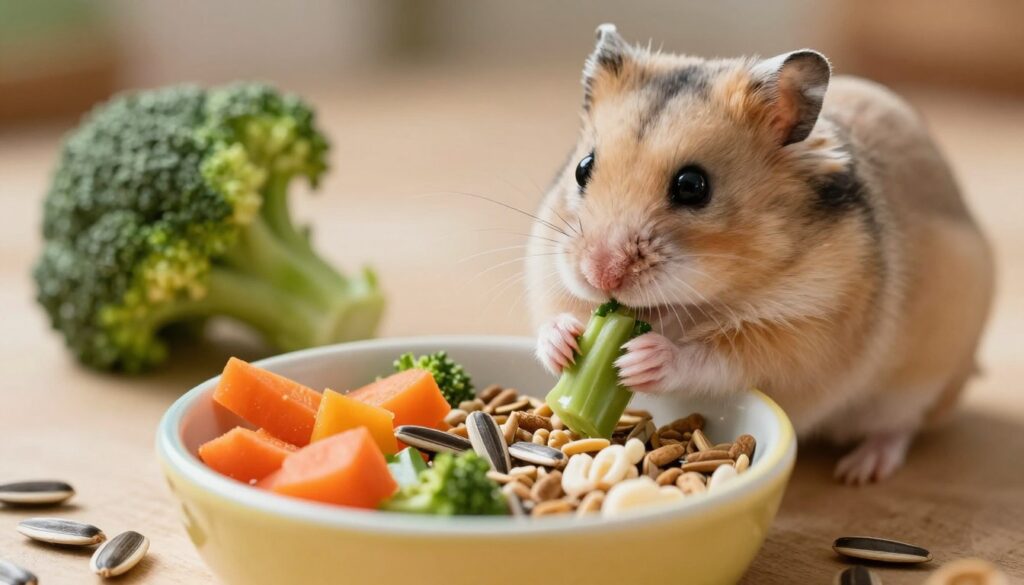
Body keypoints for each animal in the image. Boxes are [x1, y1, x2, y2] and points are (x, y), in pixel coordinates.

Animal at [526, 24, 994, 484]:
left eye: (692, 186)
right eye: (582, 168)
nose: (600, 274)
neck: (685, 305)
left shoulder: (806, 332)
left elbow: (717, 358)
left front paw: (638, 360)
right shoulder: (551, 274)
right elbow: (558, 314)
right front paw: (563, 342)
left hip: (918, 381)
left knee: (902, 427)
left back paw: (861, 469)